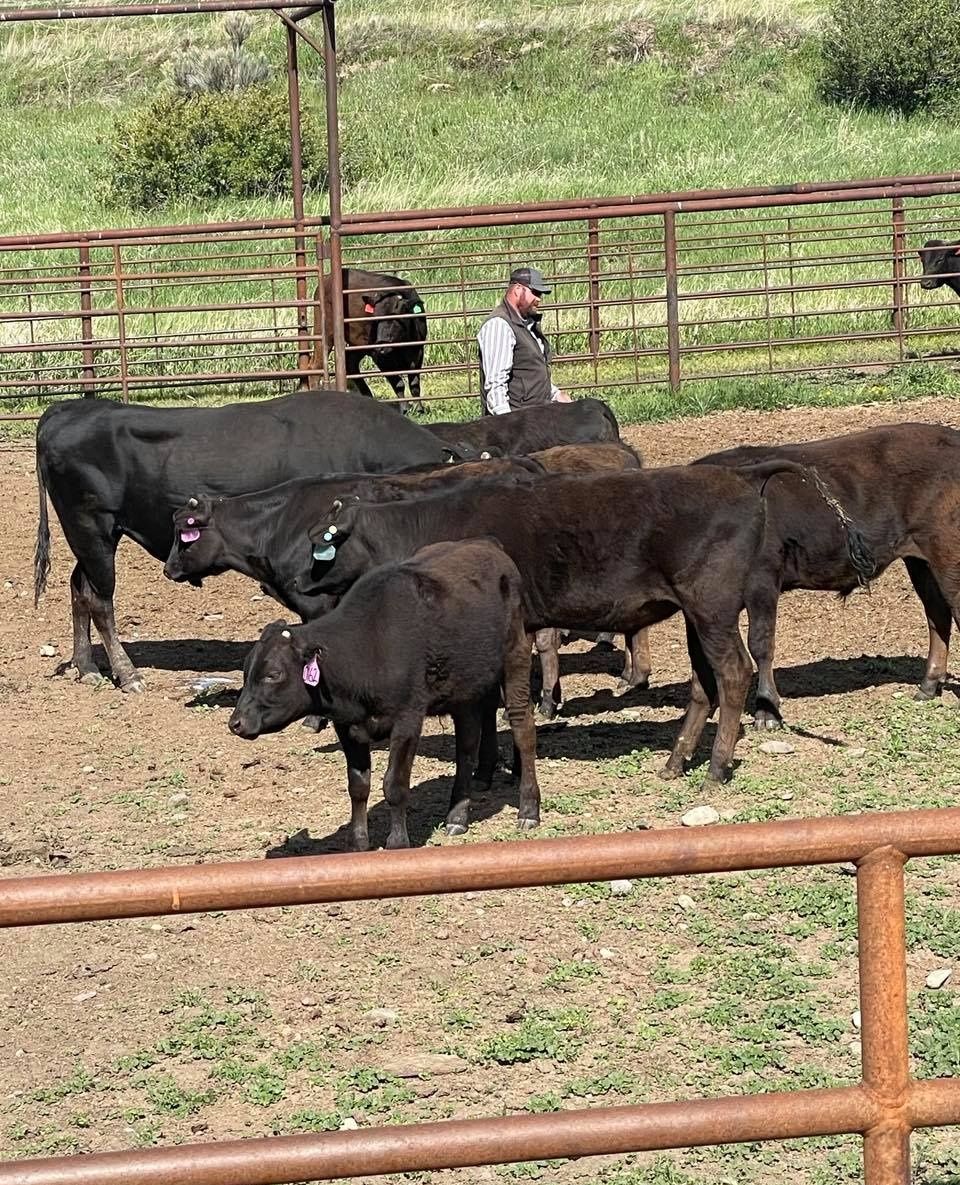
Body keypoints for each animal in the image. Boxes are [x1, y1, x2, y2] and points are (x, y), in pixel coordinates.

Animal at [34, 390, 464, 694]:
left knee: (79, 589)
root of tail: (67, 410)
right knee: (100, 600)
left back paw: (87, 666)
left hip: (92, 539)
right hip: (92, 531)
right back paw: (128, 674)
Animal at [229, 540, 540, 849]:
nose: (236, 723)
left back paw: (528, 809)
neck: (370, 645)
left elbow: (395, 784)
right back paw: (457, 816)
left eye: (273, 674)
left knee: (522, 728)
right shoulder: (347, 725)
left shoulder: (407, 720)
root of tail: (488, 545)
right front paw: (359, 843)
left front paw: (397, 842)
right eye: (246, 671)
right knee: (466, 745)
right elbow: (358, 785)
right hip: (465, 691)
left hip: (516, 655)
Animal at [301, 464, 872, 786]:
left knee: (733, 673)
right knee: (703, 684)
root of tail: (743, 480)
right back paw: (676, 761)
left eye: (321, 544)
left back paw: (714, 768)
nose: (300, 584)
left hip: (710, 606)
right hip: (700, 613)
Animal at [311, 268, 427, 412]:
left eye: (395, 318)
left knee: (350, 363)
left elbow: (415, 384)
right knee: (316, 365)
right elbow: (398, 383)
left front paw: (419, 408)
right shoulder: (380, 357)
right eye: (374, 318)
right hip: (325, 334)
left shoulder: (418, 351)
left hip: (359, 343)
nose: (381, 345)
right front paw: (404, 408)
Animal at [695, 422, 960, 728]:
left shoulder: (763, 579)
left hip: (946, 551)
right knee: (937, 613)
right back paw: (928, 685)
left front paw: (766, 711)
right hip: (919, 559)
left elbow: (760, 643)